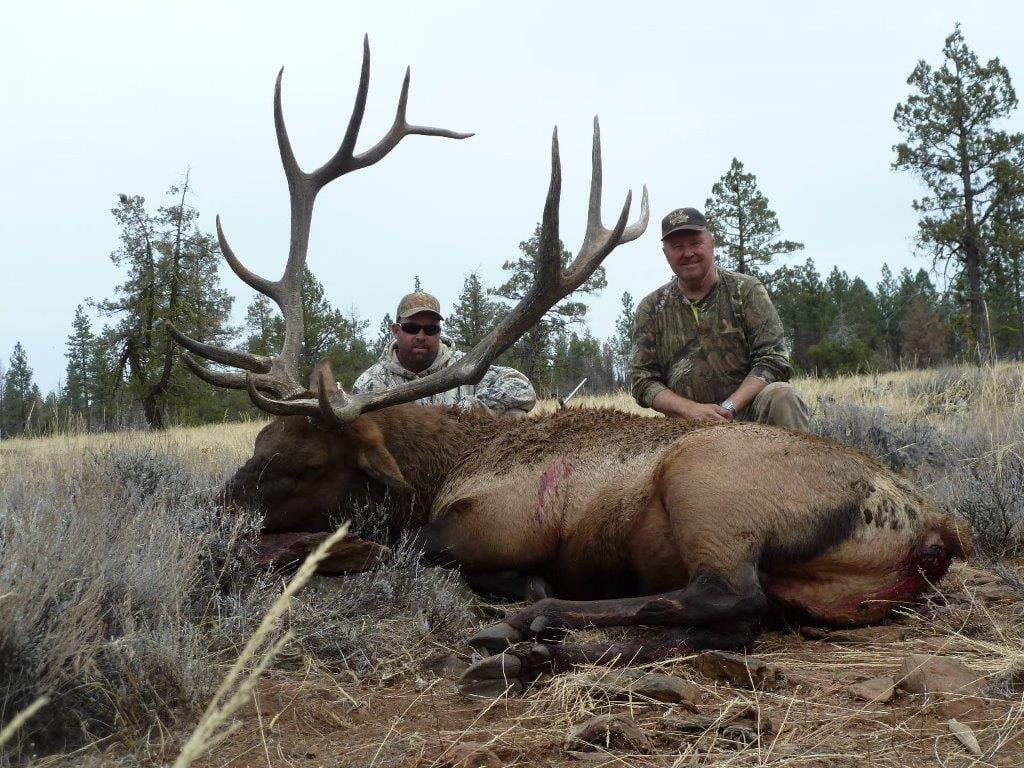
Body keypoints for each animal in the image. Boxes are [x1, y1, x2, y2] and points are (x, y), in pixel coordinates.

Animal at [167, 39, 973, 696]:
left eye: (303, 463)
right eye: (258, 443)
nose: (212, 515)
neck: (436, 473)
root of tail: (936, 526)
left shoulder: (490, 527)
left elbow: (404, 552)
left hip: (709, 488)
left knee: (727, 598)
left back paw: (525, 629)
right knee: (729, 622)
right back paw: (529, 651)